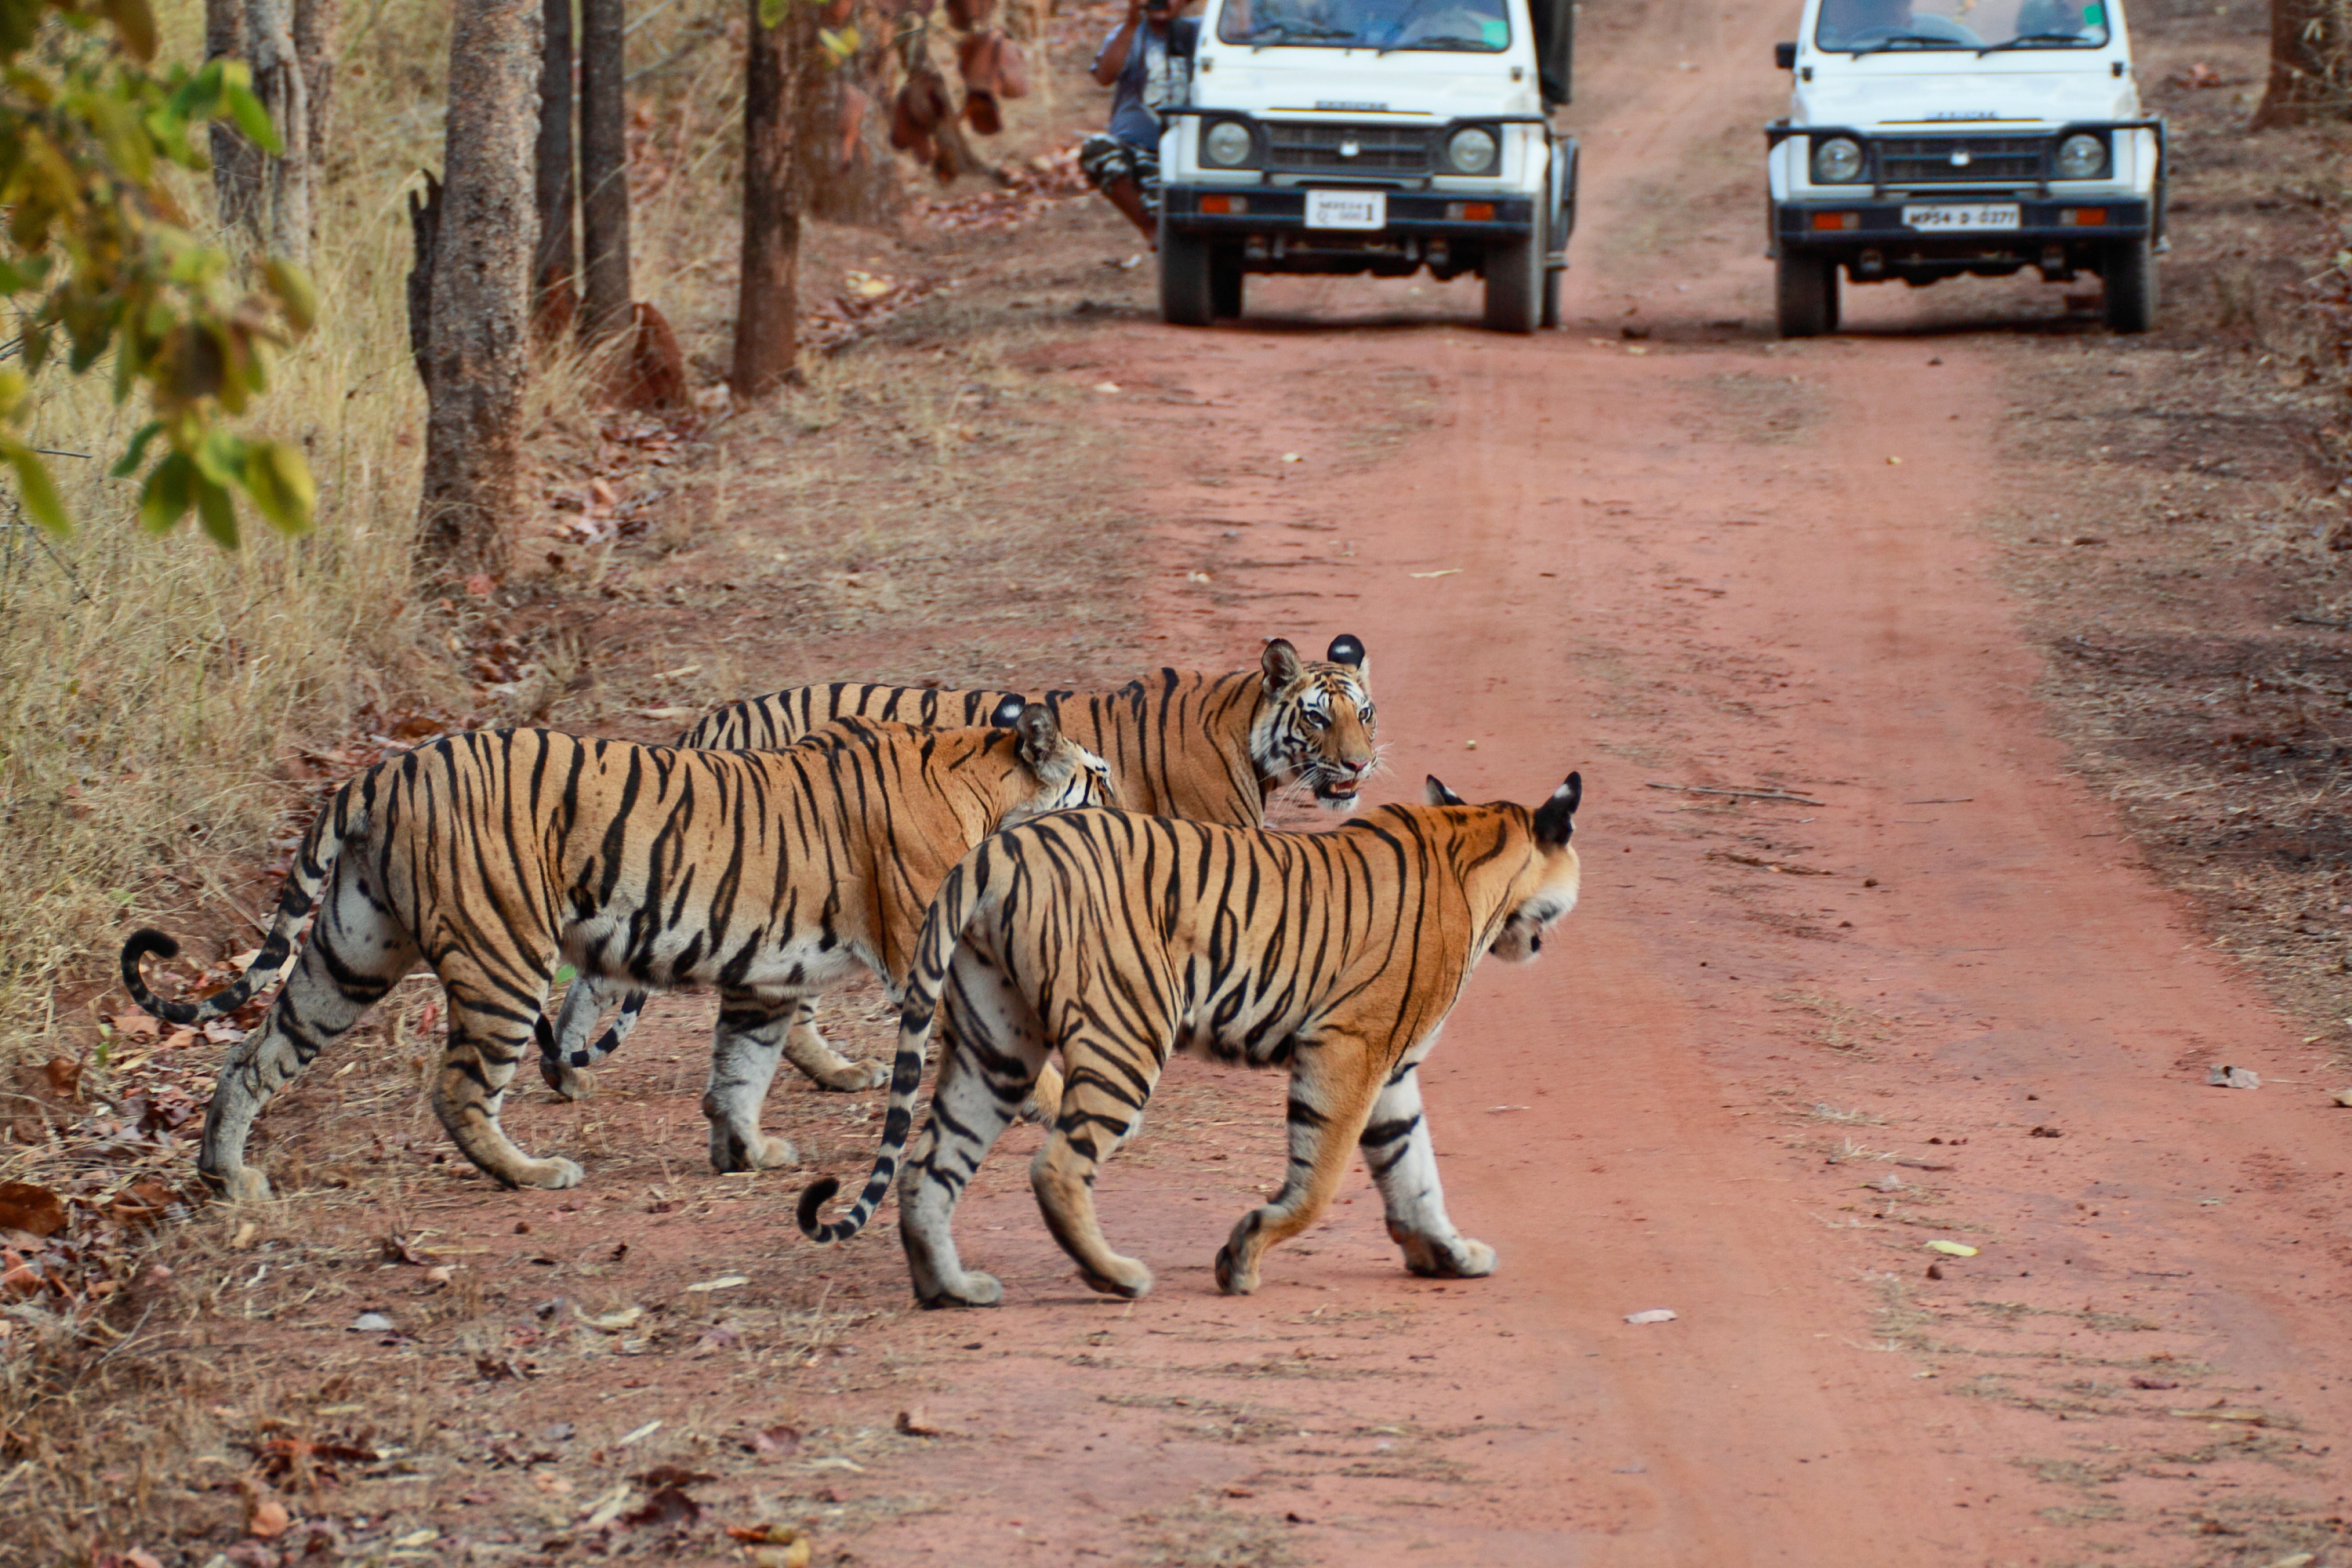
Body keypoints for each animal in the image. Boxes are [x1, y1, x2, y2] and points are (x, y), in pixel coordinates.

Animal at [122, 710, 1120, 1203]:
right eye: (1097, 776)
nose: (1126, 802)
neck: (981, 781)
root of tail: (383, 768)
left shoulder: (767, 976)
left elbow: (740, 1068)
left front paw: (745, 1151)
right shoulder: (925, 954)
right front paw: (1068, 1108)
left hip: (351, 952)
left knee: (254, 1054)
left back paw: (228, 1176)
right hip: (504, 956)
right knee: (459, 1088)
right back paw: (532, 1173)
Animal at [539, 630, 1374, 1105]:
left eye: (1363, 713)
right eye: (1316, 717)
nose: (1362, 766)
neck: (1245, 730)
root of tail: (716, 719)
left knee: (598, 978)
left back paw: (568, 1075)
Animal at [800, 766, 1590, 1307]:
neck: (1478, 845)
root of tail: (999, 848)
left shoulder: (1391, 1071)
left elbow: (1414, 1171)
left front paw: (1448, 1253)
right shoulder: (1350, 1048)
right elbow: (1320, 1180)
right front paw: (1241, 1258)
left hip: (996, 1043)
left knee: (928, 1164)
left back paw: (952, 1289)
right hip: (1126, 1030)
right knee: (1057, 1165)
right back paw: (1117, 1277)